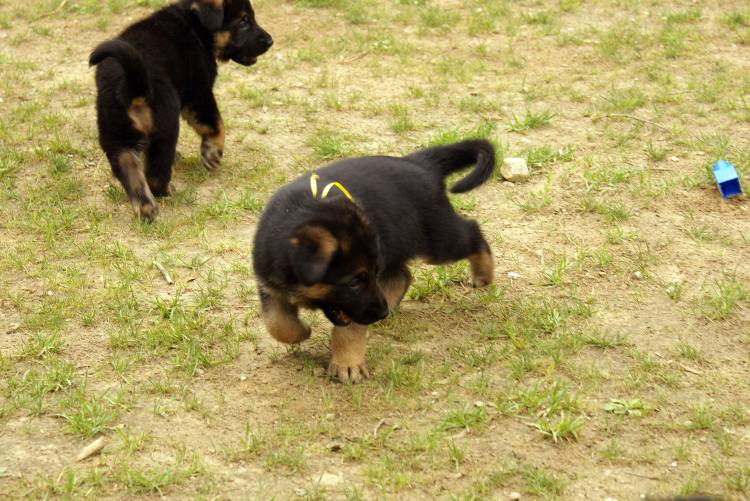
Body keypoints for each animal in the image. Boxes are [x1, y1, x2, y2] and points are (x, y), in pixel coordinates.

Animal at [90, 0, 274, 220]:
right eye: (244, 21)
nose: (270, 40)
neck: (196, 28)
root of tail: (131, 86)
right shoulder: (199, 93)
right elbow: (216, 123)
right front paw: (213, 153)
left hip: (115, 135)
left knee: (131, 170)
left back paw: (146, 209)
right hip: (166, 124)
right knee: (156, 175)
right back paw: (166, 190)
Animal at [253, 140, 500, 382]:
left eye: (362, 278)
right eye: (354, 282)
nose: (381, 312)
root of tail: (419, 164)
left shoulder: (359, 306)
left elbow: (347, 330)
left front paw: (347, 363)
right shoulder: (269, 285)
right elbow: (277, 323)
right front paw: (301, 331)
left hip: (437, 241)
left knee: (472, 231)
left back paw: (483, 274)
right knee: (402, 276)